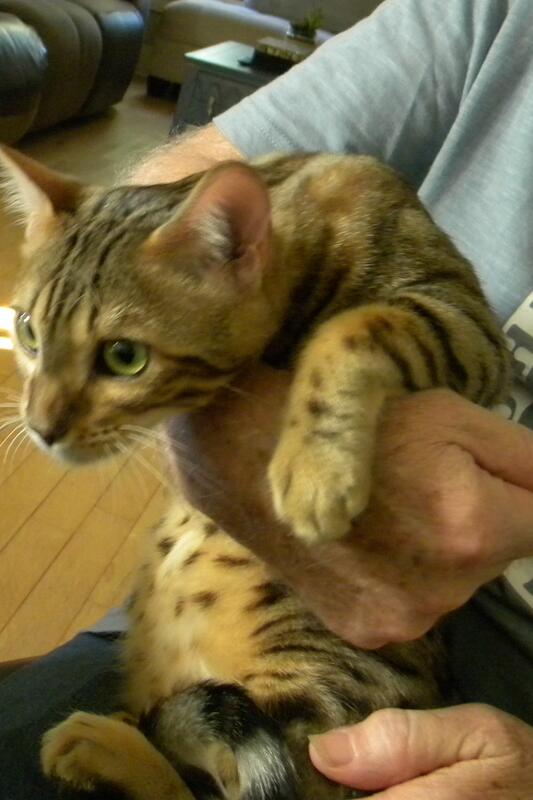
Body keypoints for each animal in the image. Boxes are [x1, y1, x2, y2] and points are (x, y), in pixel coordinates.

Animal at [0, 145, 510, 799]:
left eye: (124, 357)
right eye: (29, 332)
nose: (40, 427)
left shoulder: (464, 323)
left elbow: (354, 327)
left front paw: (315, 471)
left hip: (314, 688)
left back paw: (102, 744)